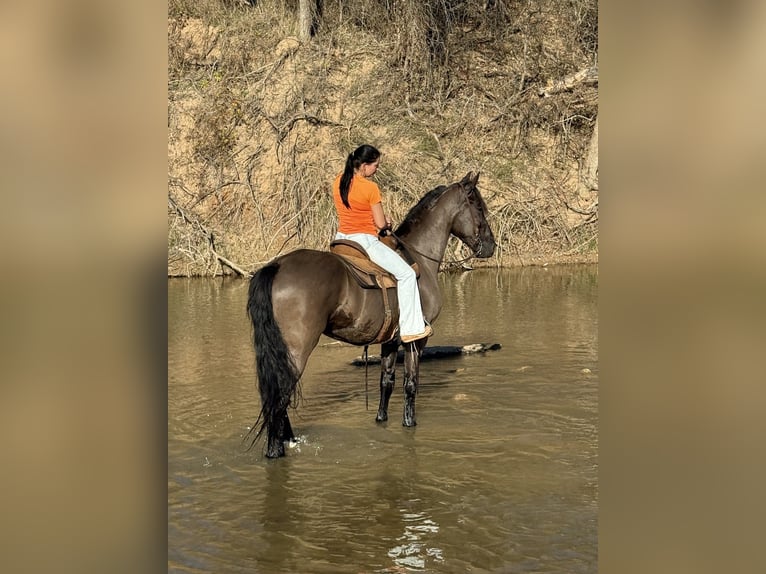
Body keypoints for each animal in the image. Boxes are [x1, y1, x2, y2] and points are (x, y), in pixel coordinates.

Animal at [246, 171, 495, 458]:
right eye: (479, 207)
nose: (491, 246)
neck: (420, 260)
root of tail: (276, 266)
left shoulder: (390, 341)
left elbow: (386, 383)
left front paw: (381, 420)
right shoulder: (416, 339)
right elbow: (411, 383)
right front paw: (409, 423)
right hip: (297, 350)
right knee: (280, 397)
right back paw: (276, 449)